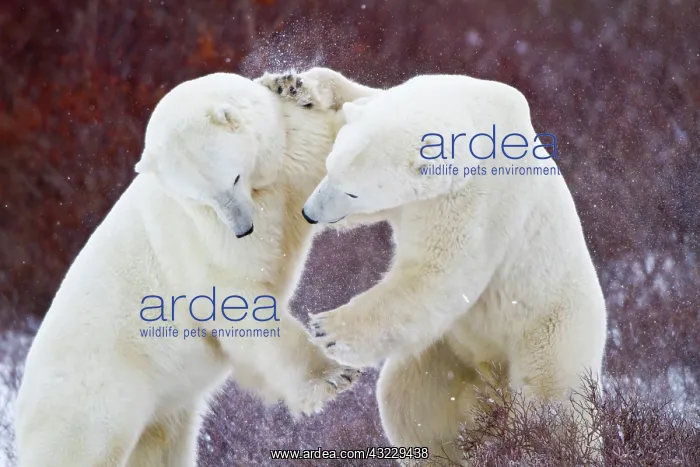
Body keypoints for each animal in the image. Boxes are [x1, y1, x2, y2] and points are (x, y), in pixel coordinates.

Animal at [14, 71, 362, 467]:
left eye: (234, 178)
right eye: (202, 197)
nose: (242, 228)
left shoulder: (288, 157)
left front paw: (292, 87)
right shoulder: (198, 239)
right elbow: (239, 302)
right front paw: (334, 377)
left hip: (158, 408)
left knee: (162, 443)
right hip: (94, 399)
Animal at [270, 68, 608, 465]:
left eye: (353, 190)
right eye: (329, 167)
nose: (310, 213)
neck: (473, 113)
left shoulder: (477, 196)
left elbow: (438, 272)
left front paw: (328, 328)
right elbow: (360, 99)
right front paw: (295, 87)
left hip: (551, 332)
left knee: (552, 413)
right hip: (444, 350)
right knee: (408, 401)